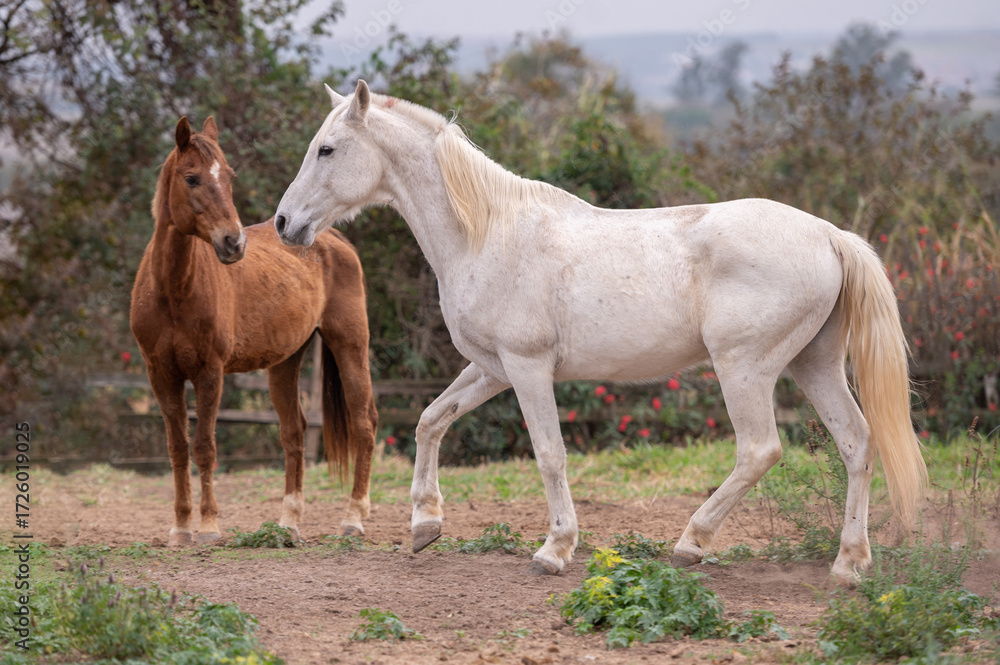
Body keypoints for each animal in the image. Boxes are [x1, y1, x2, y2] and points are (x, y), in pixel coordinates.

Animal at [130, 116, 377, 546]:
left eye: (229, 176)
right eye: (191, 178)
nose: (233, 242)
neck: (173, 291)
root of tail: (332, 238)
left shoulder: (210, 374)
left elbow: (205, 446)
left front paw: (208, 527)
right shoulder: (160, 375)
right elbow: (178, 448)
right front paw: (180, 528)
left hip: (350, 345)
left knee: (364, 425)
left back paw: (353, 519)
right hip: (285, 362)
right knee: (294, 433)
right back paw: (289, 522)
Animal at [272, 80, 927, 584]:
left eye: (327, 149)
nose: (283, 223)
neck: (486, 234)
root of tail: (830, 236)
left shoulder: (528, 368)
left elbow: (549, 453)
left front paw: (555, 550)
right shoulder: (491, 368)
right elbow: (431, 420)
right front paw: (425, 524)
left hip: (746, 368)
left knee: (759, 449)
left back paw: (691, 542)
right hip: (814, 365)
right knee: (857, 443)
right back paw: (848, 563)